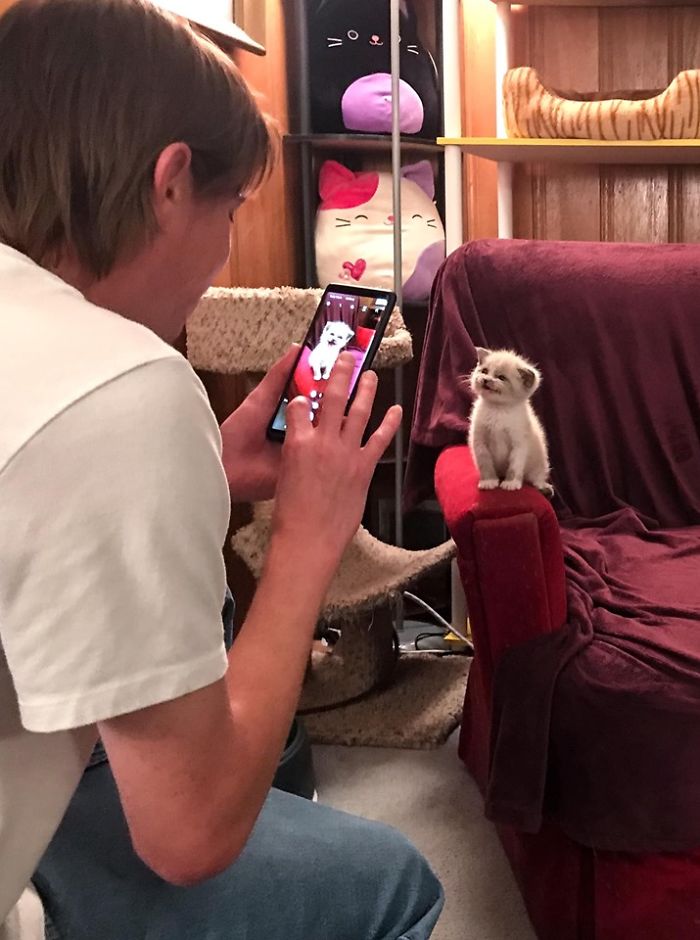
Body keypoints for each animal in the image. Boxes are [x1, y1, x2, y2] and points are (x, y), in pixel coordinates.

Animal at [464, 348, 552, 496]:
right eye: (485, 371)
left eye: (501, 378)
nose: (486, 380)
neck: (498, 409)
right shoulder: (480, 442)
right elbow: (485, 464)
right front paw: (489, 482)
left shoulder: (519, 444)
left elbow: (514, 466)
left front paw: (511, 484)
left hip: (539, 463)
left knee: (537, 477)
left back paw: (544, 487)